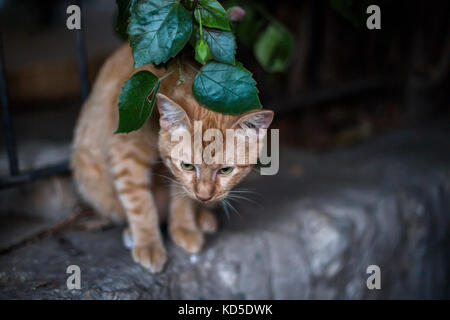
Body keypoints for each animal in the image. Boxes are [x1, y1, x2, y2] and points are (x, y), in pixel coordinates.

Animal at [72, 44, 272, 272]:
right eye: (188, 166)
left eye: (226, 170)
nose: (204, 197)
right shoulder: (126, 155)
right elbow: (139, 203)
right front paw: (148, 243)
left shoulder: (180, 180)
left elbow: (182, 196)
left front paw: (184, 227)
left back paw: (203, 217)